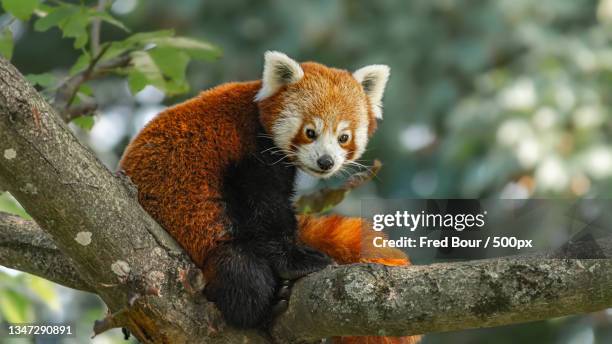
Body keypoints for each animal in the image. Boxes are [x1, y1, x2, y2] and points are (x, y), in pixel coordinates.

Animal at [119, 51, 420, 344]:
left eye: (343, 137)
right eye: (310, 132)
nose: (326, 162)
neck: (257, 114)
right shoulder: (247, 152)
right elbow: (263, 211)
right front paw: (297, 262)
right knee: (241, 271)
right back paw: (266, 306)